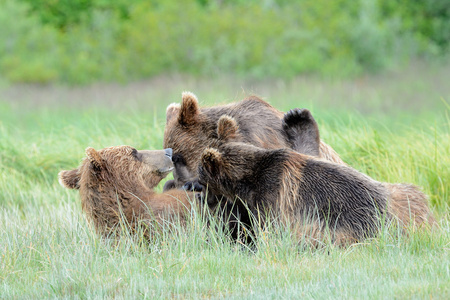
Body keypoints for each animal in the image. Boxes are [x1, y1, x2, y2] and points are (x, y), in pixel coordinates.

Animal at [197, 111, 436, 245]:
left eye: (201, 175)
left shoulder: (274, 195)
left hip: (355, 220)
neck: (250, 178)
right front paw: (297, 118)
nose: (197, 191)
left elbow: (270, 227)